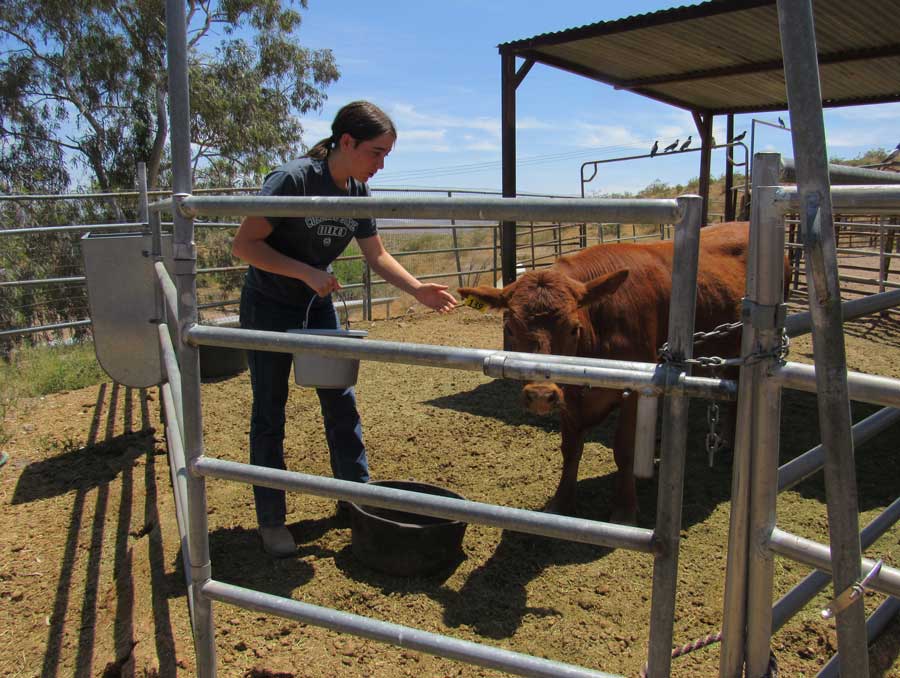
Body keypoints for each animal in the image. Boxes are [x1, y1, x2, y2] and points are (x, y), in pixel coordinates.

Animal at [458, 220, 752, 524]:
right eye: (509, 328)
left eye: (573, 328)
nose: (540, 394)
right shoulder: (568, 395)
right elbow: (570, 448)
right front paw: (561, 503)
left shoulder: (636, 389)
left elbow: (624, 449)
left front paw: (624, 511)